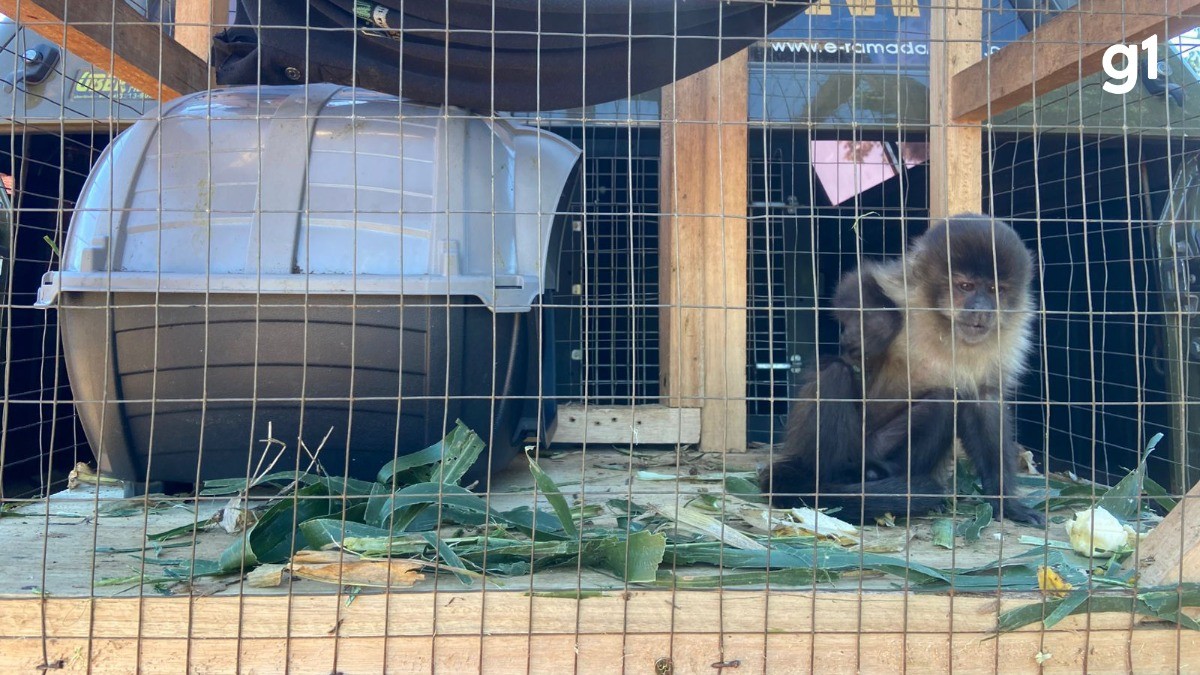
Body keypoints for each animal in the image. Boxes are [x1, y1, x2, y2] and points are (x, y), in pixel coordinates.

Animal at [763, 214, 1045, 527]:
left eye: (995, 290)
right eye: (966, 287)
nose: (982, 309)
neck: (947, 326)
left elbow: (985, 404)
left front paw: (1007, 503)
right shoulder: (910, 289)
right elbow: (854, 285)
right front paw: (876, 329)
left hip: (877, 450)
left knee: (945, 401)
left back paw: (878, 477)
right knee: (836, 372)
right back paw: (825, 482)